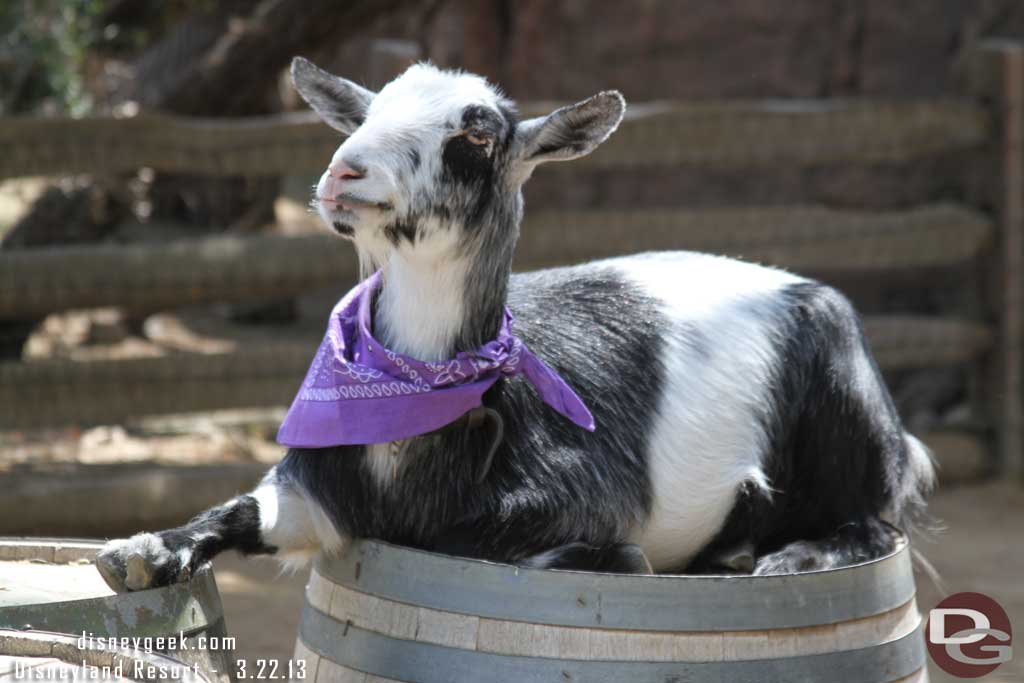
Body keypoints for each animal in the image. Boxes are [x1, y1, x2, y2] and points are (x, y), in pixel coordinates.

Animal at [96, 58, 937, 589]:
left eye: (476, 134)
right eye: (367, 112)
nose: (346, 172)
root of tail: (800, 284)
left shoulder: (584, 502)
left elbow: (529, 549)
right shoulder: (313, 486)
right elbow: (238, 509)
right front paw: (137, 552)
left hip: (849, 409)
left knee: (876, 524)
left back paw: (771, 558)